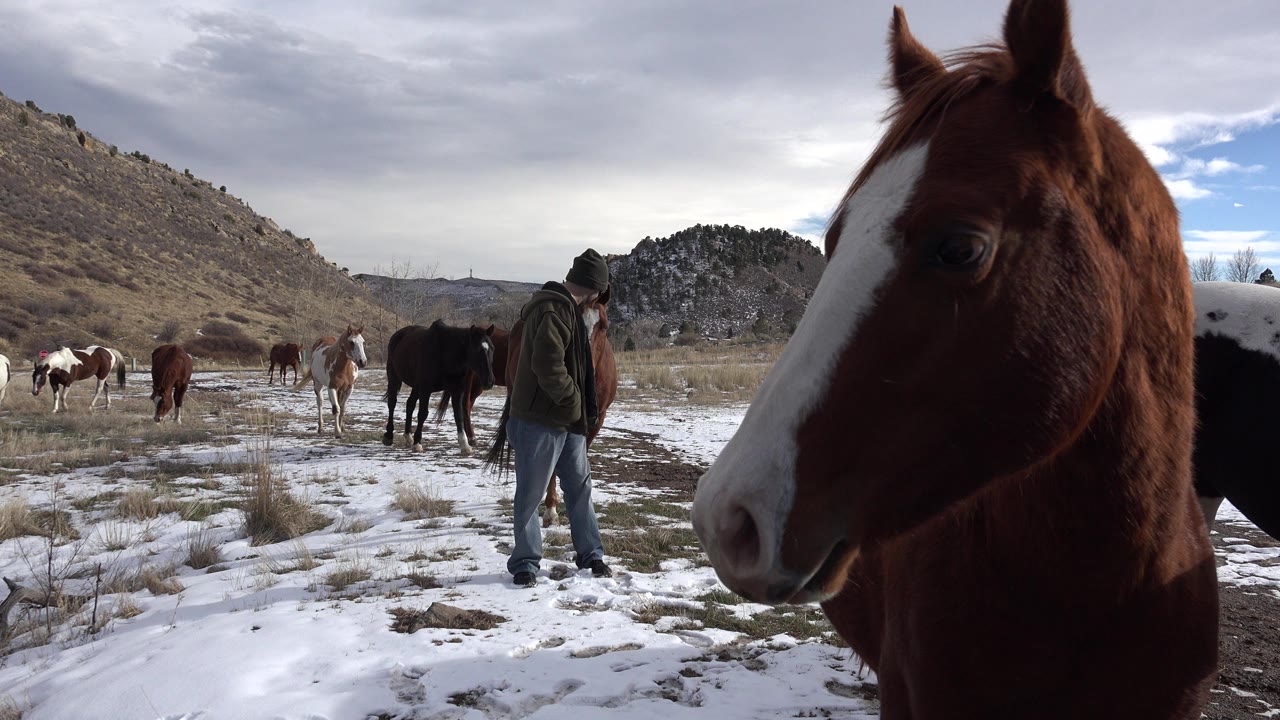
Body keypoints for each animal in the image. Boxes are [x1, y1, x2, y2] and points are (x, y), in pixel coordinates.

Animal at [382, 321, 496, 454]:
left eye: (492, 348)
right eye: (477, 350)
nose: (489, 381)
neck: (445, 353)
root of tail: (397, 335)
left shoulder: (457, 390)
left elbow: (459, 415)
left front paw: (465, 445)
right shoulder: (425, 389)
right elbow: (422, 414)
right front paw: (417, 443)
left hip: (416, 385)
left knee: (410, 404)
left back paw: (408, 436)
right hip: (394, 377)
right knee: (392, 403)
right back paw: (389, 436)